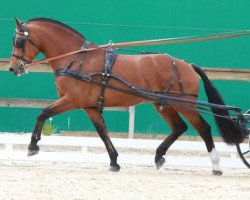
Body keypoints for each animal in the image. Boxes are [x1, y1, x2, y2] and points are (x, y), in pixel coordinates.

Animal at [9, 18, 244, 175]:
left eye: (18, 42)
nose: (13, 68)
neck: (77, 59)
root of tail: (187, 65)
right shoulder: (90, 107)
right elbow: (103, 133)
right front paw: (114, 161)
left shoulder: (72, 100)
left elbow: (42, 113)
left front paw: (32, 147)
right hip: (163, 104)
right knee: (179, 127)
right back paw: (158, 156)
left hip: (184, 103)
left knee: (203, 128)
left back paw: (216, 165)